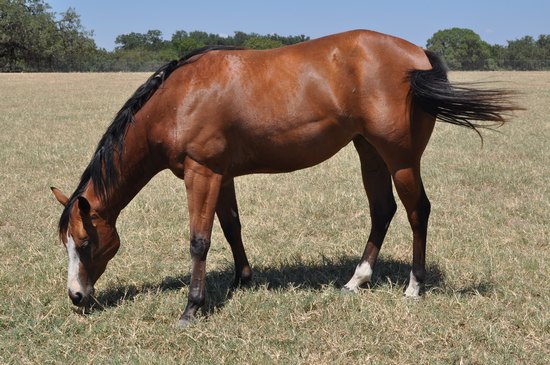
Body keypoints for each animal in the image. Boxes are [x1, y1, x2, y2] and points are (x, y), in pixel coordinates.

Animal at [49, 28, 520, 324]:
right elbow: (232, 227)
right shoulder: (221, 175)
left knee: (417, 210)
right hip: (368, 150)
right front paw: (241, 281)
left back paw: (414, 286)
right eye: (67, 242)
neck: (179, 98)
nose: (76, 296)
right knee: (382, 210)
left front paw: (192, 308)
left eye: (86, 242)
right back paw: (356, 280)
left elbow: (199, 240)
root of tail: (418, 56)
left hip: (400, 157)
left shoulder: (201, 174)